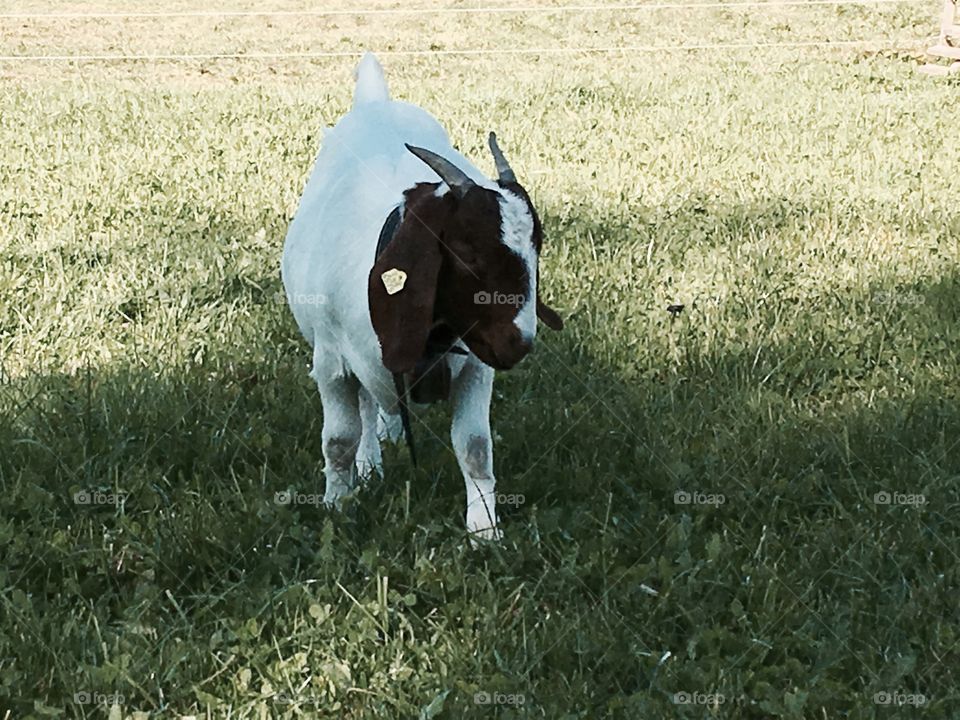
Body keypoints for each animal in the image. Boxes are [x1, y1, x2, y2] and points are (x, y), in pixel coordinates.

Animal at [281, 53, 562, 539]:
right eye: (466, 251)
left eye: (537, 247)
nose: (519, 343)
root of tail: (377, 101)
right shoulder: (332, 365)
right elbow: (339, 441)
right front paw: (338, 507)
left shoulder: (476, 368)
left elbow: (474, 447)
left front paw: (485, 531)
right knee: (367, 408)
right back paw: (370, 467)